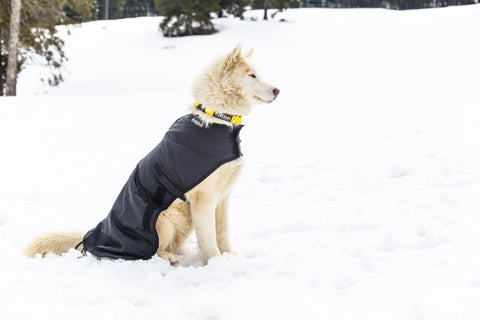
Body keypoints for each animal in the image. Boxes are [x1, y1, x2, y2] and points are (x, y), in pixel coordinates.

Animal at [24, 44, 280, 264]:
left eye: (259, 74)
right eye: (252, 76)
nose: (277, 90)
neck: (216, 118)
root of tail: (96, 234)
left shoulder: (222, 196)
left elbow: (222, 231)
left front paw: (230, 256)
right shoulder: (203, 199)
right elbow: (208, 236)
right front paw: (216, 261)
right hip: (164, 219)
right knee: (152, 252)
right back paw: (169, 258)